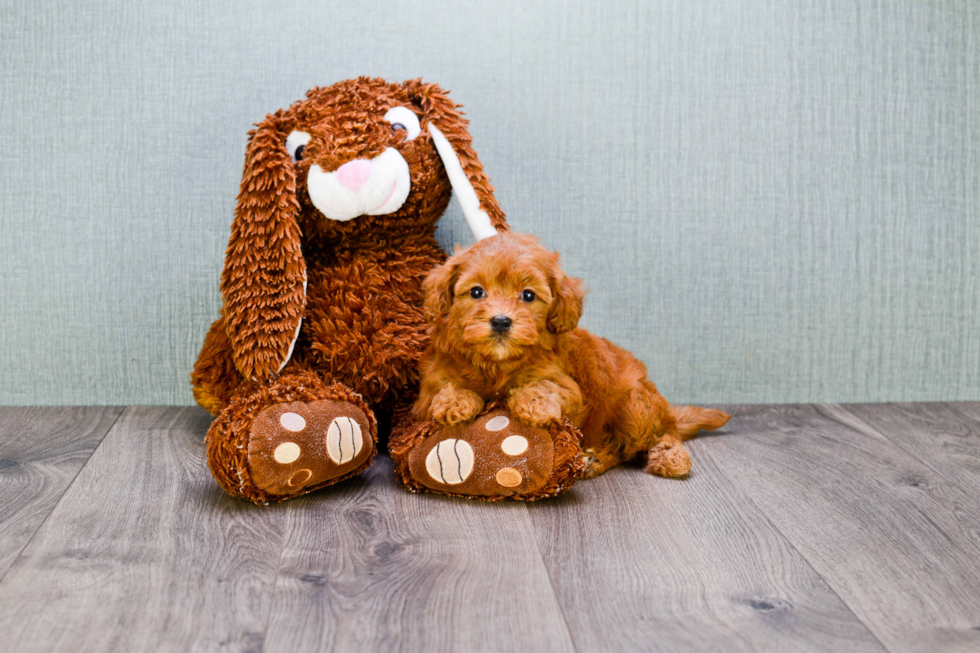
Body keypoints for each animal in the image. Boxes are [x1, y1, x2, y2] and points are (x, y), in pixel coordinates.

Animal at [412, 232, 728, 476]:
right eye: (476, 292)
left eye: (528, 295)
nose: (501, 321)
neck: (497, 364)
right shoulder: (427, 389)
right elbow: (444, 387)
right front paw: (456, 402)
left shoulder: (567, 386)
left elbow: (545, 386)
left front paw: (534, 404)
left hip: (633, 403)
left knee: (652, 437)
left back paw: (660, 457)